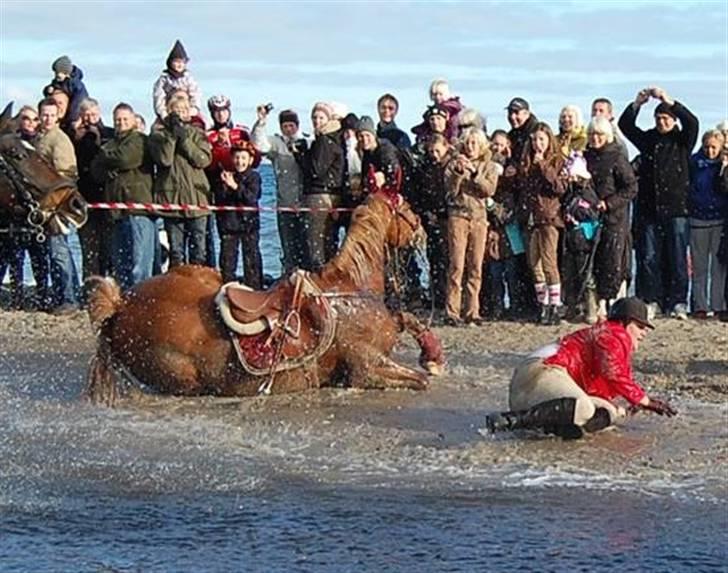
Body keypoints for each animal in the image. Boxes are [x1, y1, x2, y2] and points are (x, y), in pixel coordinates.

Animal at [88, 192, 446, 402]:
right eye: (408, 209)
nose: (422, 230)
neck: (349, 289)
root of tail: (120, 305)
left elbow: (407, 319)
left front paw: (433, 355)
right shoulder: (364, 367)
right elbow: (418, 379)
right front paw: (430, 363)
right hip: (185, 374)